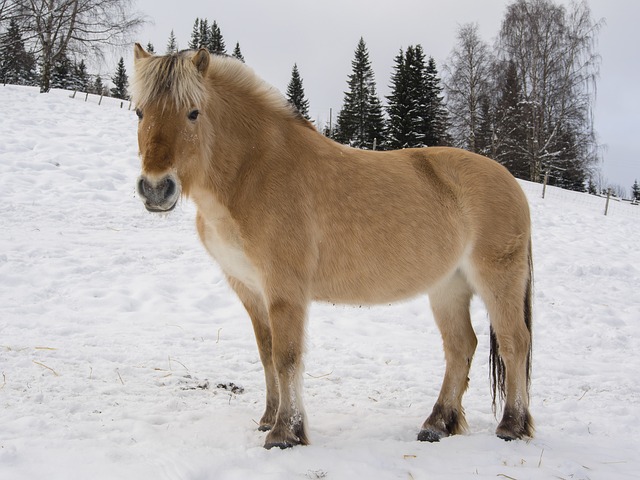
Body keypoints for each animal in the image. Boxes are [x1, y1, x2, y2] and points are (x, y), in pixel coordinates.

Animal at [131, 45, 536, 450]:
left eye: (193, 112)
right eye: (139, 111)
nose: (156, 189)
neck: (255, 171)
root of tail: (510, 181)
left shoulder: (285, 289)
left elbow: (286, 357)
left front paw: (285, 432)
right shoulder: (249, 288)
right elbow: (266, 354)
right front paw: (268, 419)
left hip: (497, 278)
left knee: (515, 342)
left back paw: (511, 426)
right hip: (448, 286)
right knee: (460, 347)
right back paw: (436, 424)